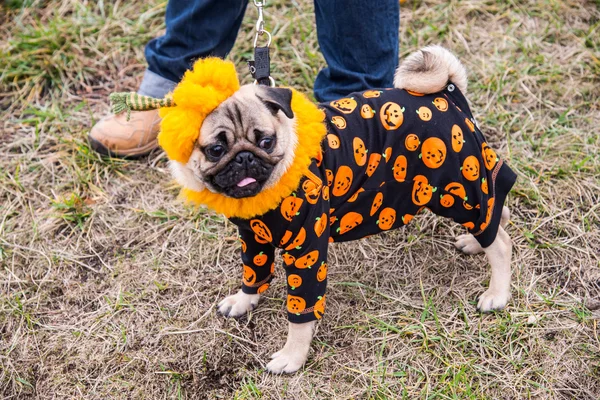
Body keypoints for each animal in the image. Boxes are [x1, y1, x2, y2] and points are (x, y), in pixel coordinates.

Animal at [163, 45, 516, 374]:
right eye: (216, 150)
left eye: (265, 142)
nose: (244, 158)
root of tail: (447, 94)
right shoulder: (253, 237)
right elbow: (254, 271)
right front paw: (243, 300)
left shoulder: (306, 249)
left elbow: (301, 312)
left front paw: (292, 357)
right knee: (497, 212)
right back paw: (474, 242)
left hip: (457, 187)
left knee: (499, 238)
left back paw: (496, 293)